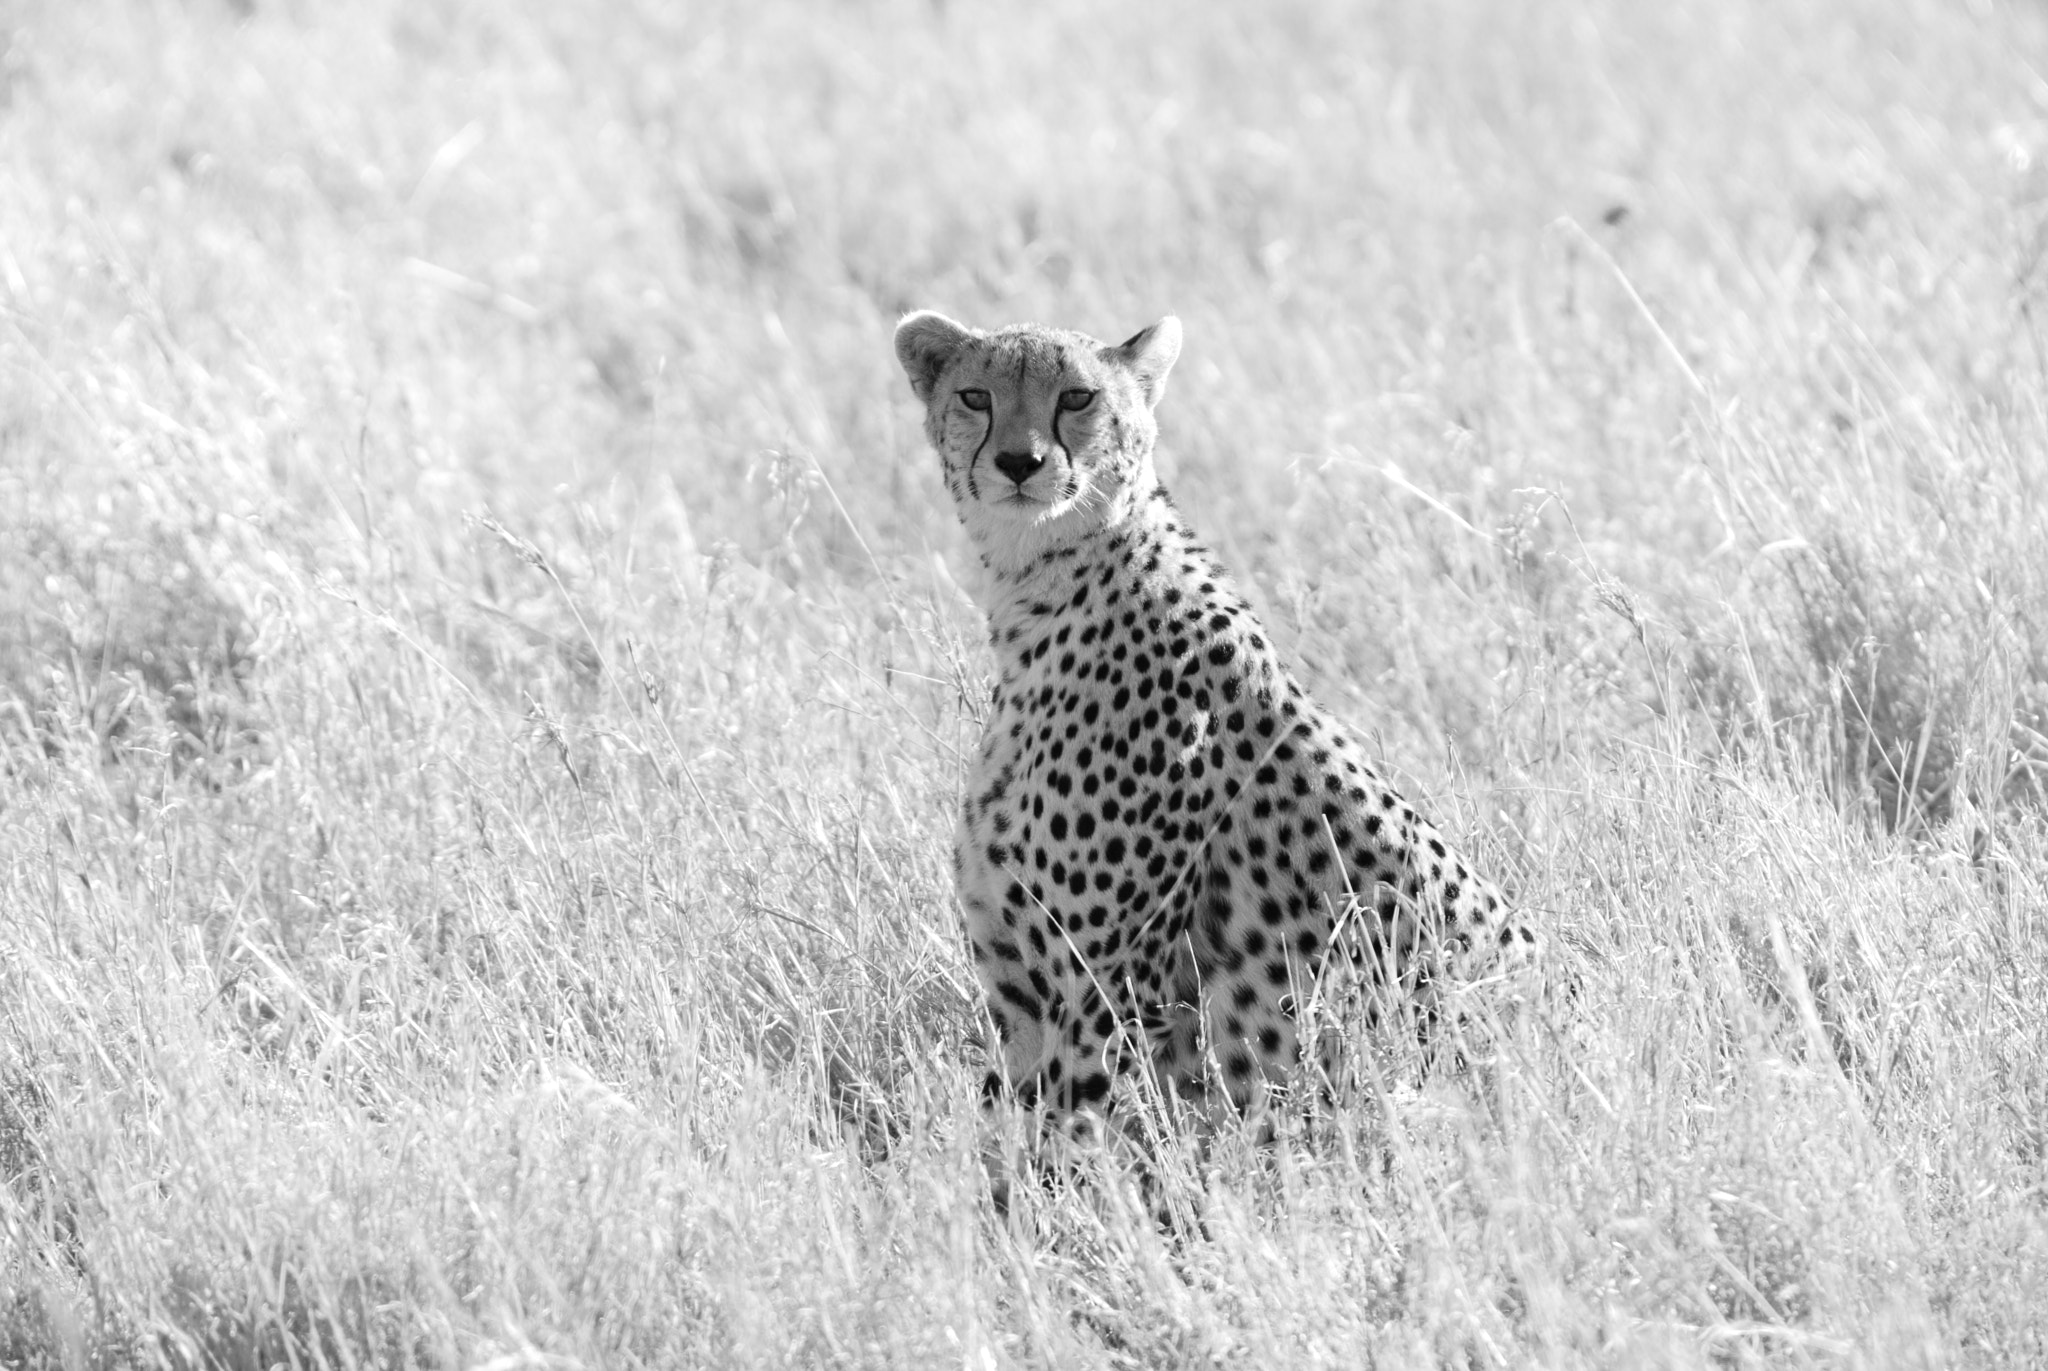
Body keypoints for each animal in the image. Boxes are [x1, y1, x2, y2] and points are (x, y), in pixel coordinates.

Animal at [888, 309, 1540, 1123]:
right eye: (976, 396)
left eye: (1077, 397)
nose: (1017, 460)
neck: (1044, 586)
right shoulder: (1022, 1002)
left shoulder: (1108, 994)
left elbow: (1071, 1134)